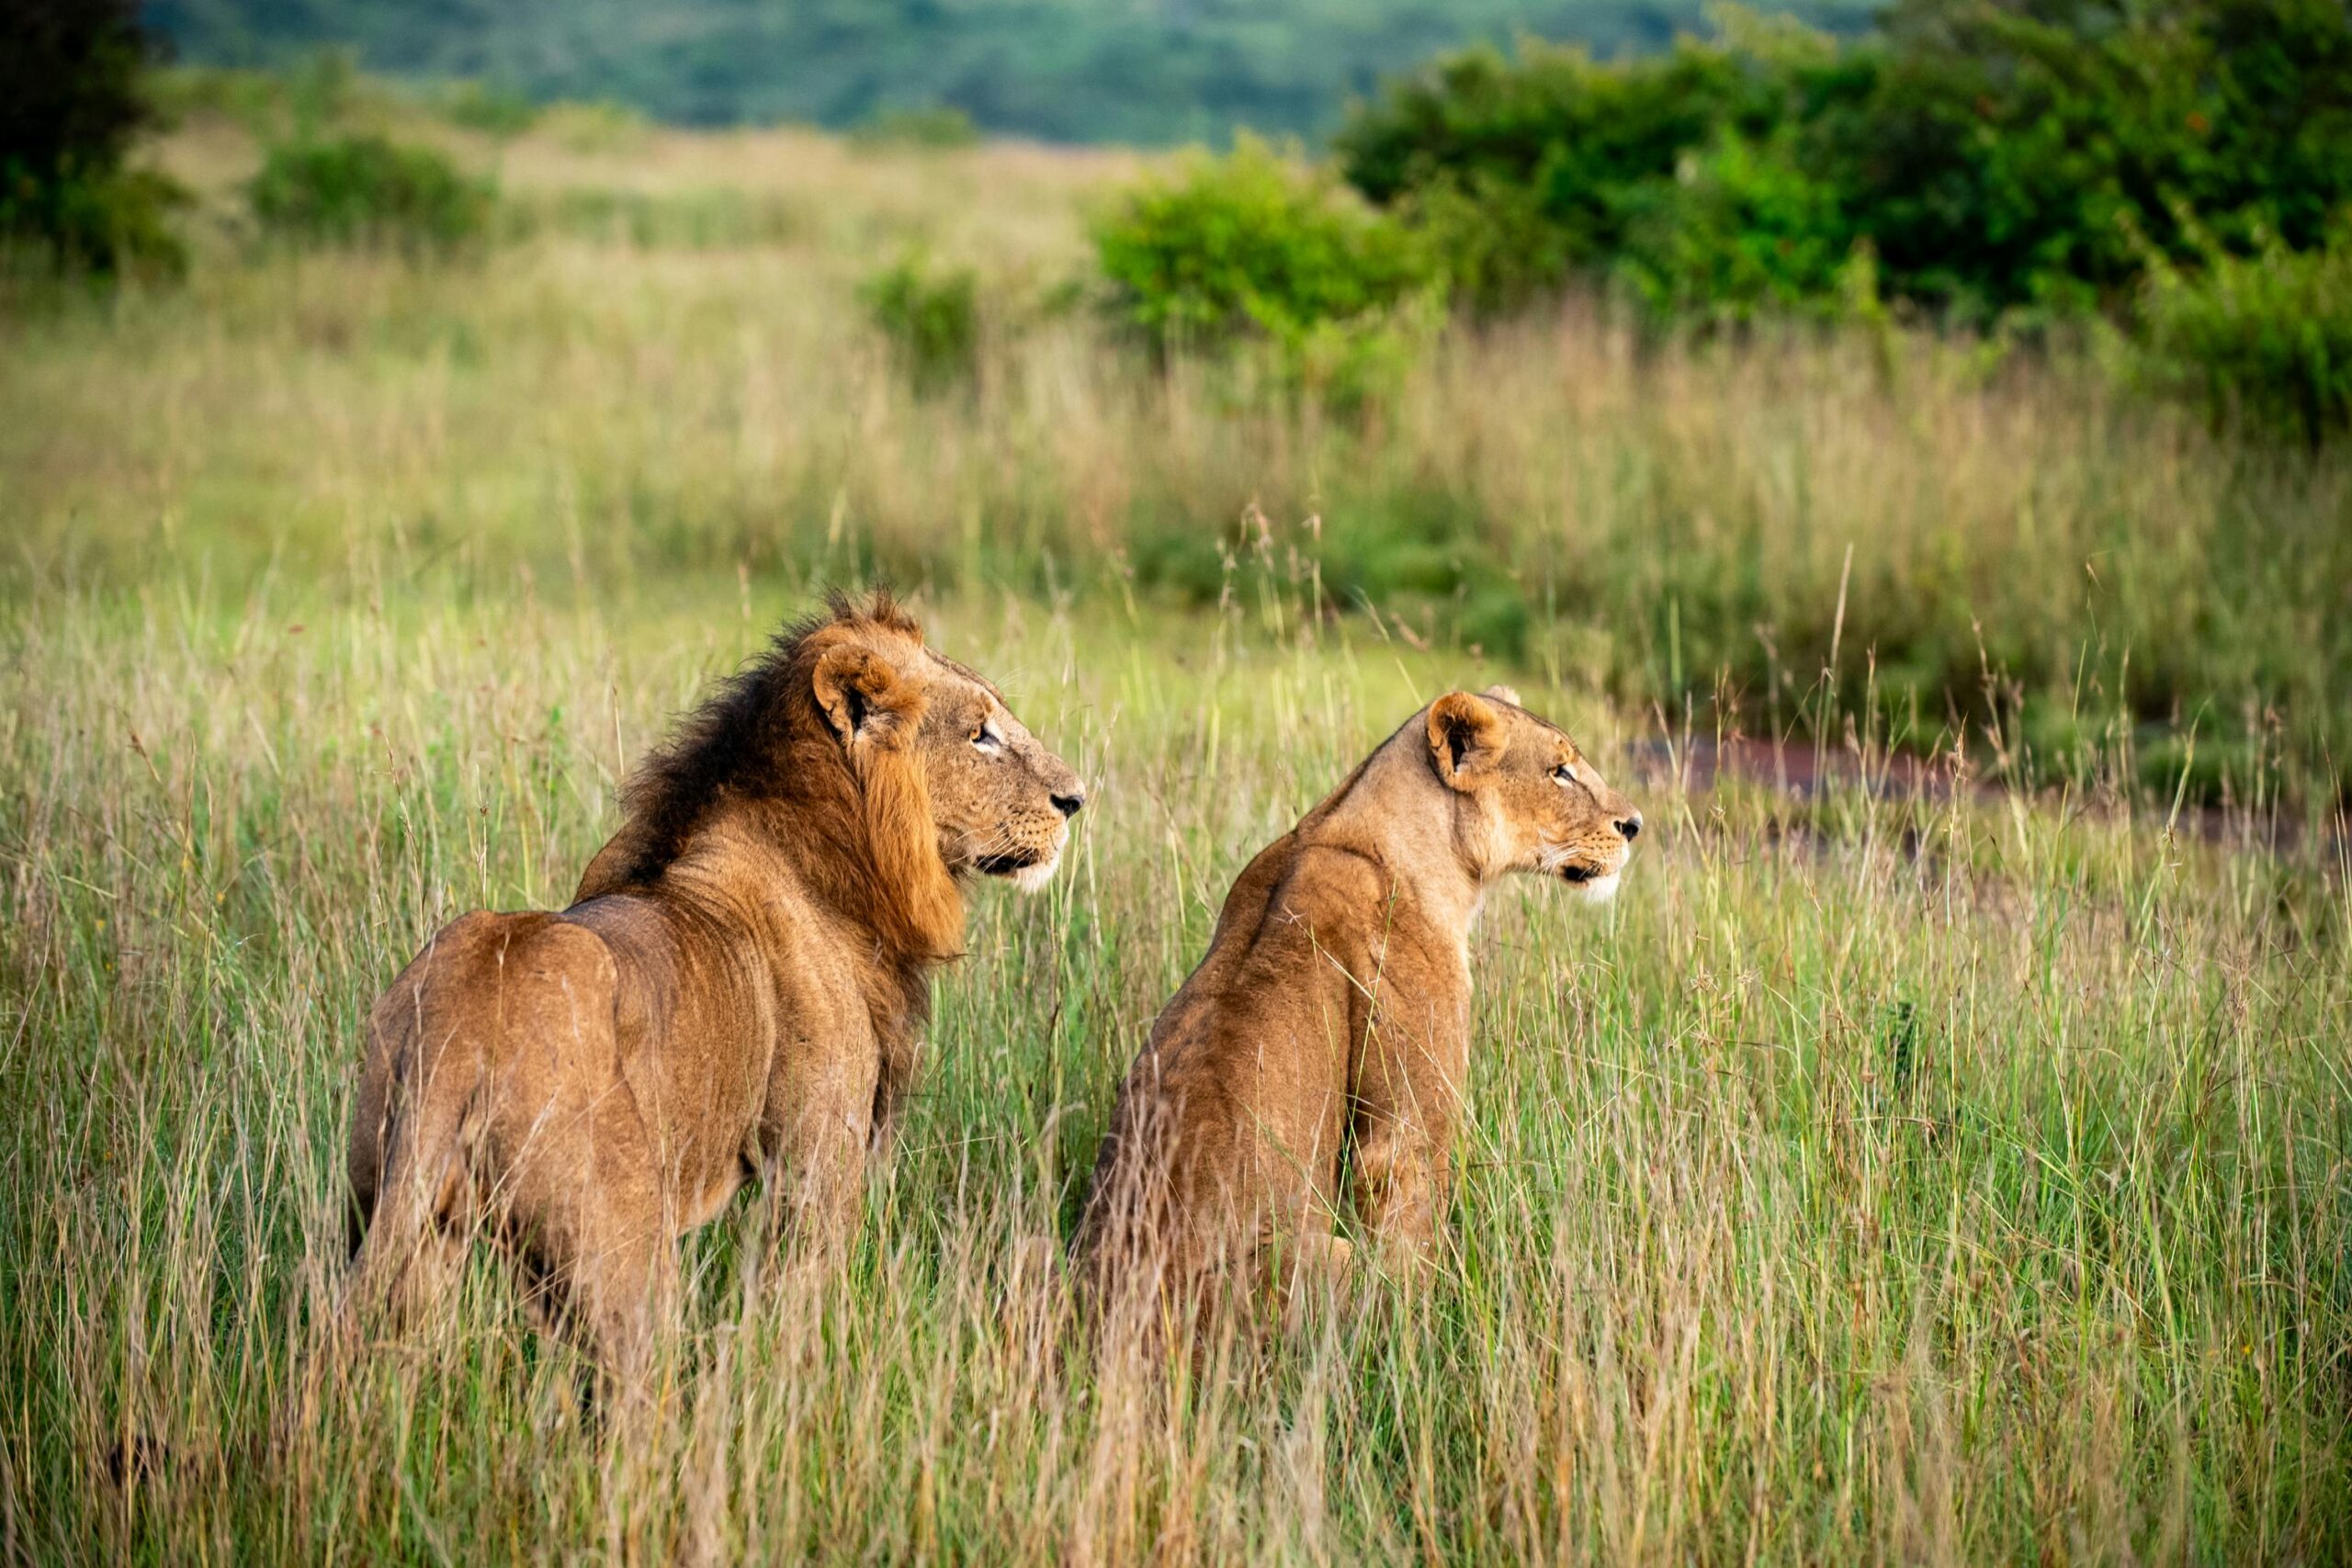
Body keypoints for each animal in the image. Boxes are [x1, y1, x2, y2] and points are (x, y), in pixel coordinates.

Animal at [341, 594, 1081, 1382]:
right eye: (981, 735)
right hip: (622, 1255)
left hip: (399, 1220)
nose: (1076, 799)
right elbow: (797, 1307)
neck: (836, 856)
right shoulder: (815, 1161)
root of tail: (461, 1026)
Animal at [1077, 691, 1627, 1316]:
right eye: (1558, 771)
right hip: (1319, 1257)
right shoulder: (1406, 1129)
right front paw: (1433, 1321)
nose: (1633, 825)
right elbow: (1412, 1236)